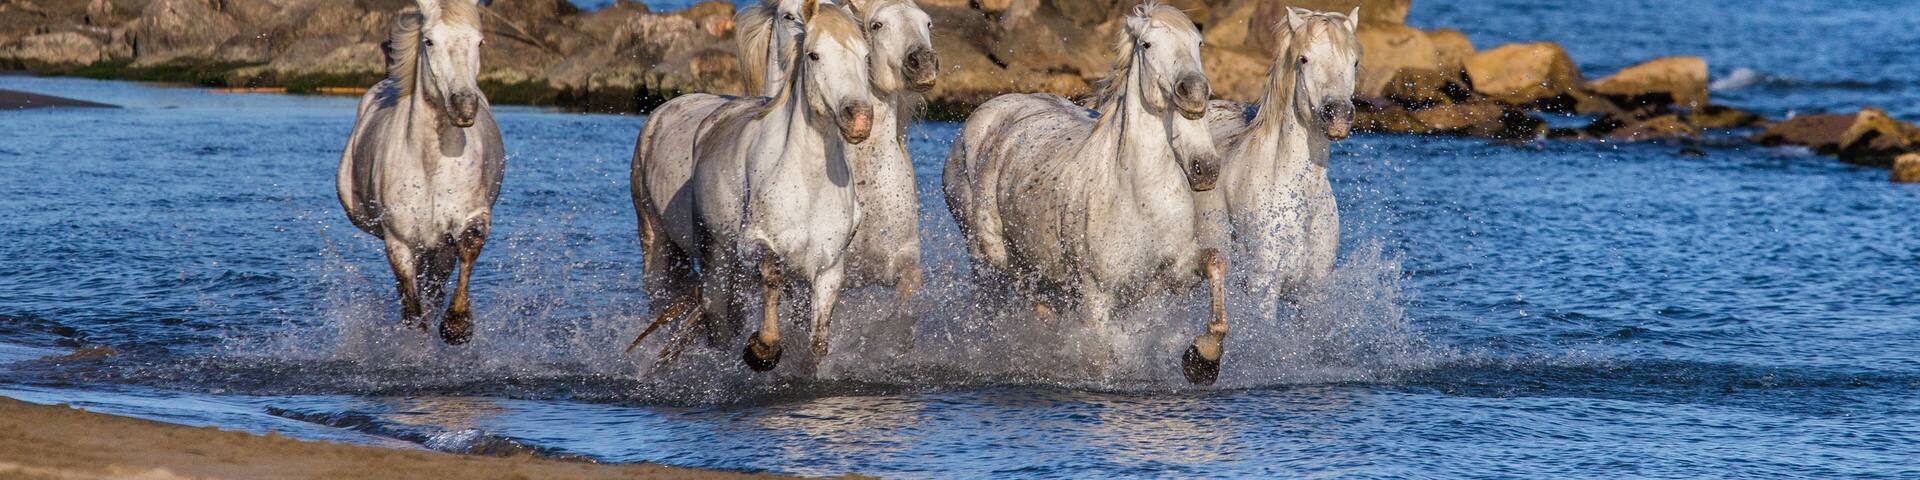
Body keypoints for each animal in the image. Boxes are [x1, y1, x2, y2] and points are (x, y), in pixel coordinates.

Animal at [338, 0, 505, 345]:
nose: (464, 106)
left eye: (479, 42)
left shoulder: (466, 220)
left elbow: (469, 247)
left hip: (437, 247)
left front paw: (457, 326)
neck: (430, 167)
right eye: (429, 41)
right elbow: (410, 307)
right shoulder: (399, 241)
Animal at [941, 2, 1230, 385]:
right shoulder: (1097, 294)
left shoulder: (1173, 272)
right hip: (989, 263)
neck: (1137, 197)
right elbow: (1102, 357)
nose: (1194, 93)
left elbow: (1215, 261)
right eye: (1147, 44)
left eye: (1198, 43)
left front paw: (1203, 358)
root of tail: (985, 114)